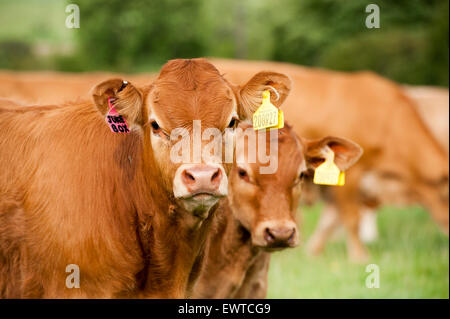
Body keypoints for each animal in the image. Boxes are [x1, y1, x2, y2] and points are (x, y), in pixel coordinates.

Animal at [212, 58, 450, 262]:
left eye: (301, 175)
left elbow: (330, 221)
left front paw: (313, 251)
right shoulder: (351, 177)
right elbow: (351, 218)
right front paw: (359, 257)